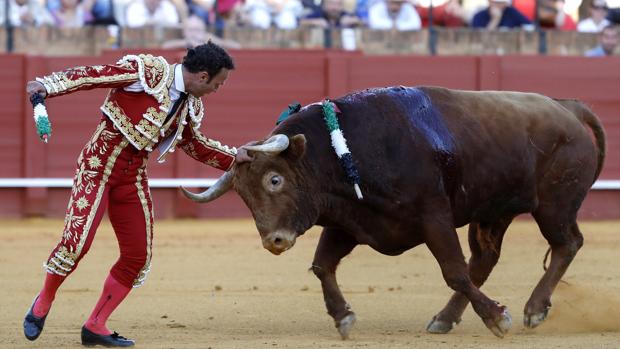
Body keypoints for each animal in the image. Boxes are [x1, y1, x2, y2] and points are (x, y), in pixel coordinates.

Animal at [180, 85, 604, 338]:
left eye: (274, 180)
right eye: (243, 195)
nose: (275, 241)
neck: (346, 149)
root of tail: (568, 108)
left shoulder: (434, 218)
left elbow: (453, 271)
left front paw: (499, 318)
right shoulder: (350, 221)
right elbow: (322, 265)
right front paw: (343, 317)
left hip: (554, 205)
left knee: (566, 244)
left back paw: (533, 310)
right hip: (493, 211)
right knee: (485, 258)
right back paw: (446, 319)